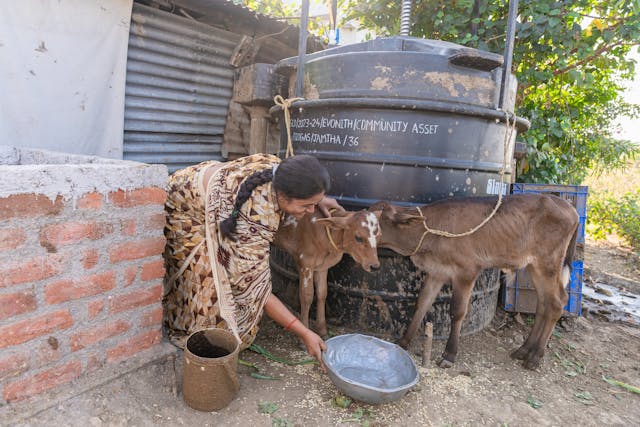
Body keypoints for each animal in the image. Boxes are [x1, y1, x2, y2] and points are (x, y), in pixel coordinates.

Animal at [274, 208, 380, 338]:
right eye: (358, 237)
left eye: (379, 235)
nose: (374, 266)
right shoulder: (305, 262)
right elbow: (307, 296)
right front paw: (306, 334)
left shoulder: (322, 267)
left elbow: (322, 293)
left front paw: (322, 330)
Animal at [368, 195, 584, 372]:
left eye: (375, 225)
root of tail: (568, 206)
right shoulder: (437, 271)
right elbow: (422, 304)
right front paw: (404, 341)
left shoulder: (467, 271)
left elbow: (457, 311)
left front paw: (449, 355)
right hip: (534, 266)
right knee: (543, 303)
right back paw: (524, 350)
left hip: (548, 263)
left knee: (557, 302)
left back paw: (535, 357)